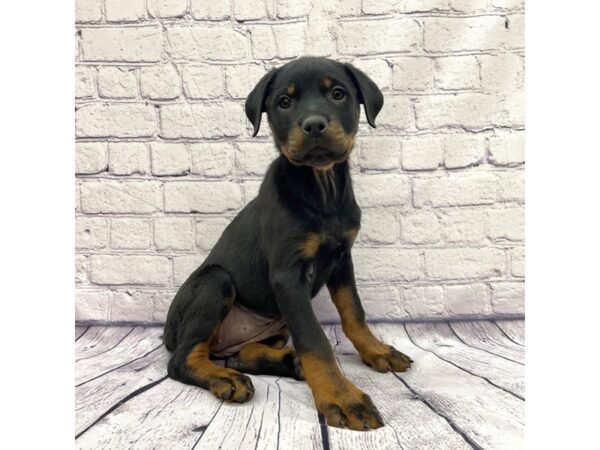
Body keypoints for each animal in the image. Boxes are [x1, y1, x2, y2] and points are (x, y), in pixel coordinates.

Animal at [164, 57, 412, 432]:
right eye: (284, 101)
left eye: (338, 94)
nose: (313, 125)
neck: (321, 189)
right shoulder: (288, 276)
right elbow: (315, 340)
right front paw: (343, 397)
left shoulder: (342, 259)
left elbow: (354, 312)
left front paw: (377, 351)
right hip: (215, 282)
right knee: (182, 359)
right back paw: (226, 378)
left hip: (274, 327)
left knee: (241, 355)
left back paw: (287, 362)